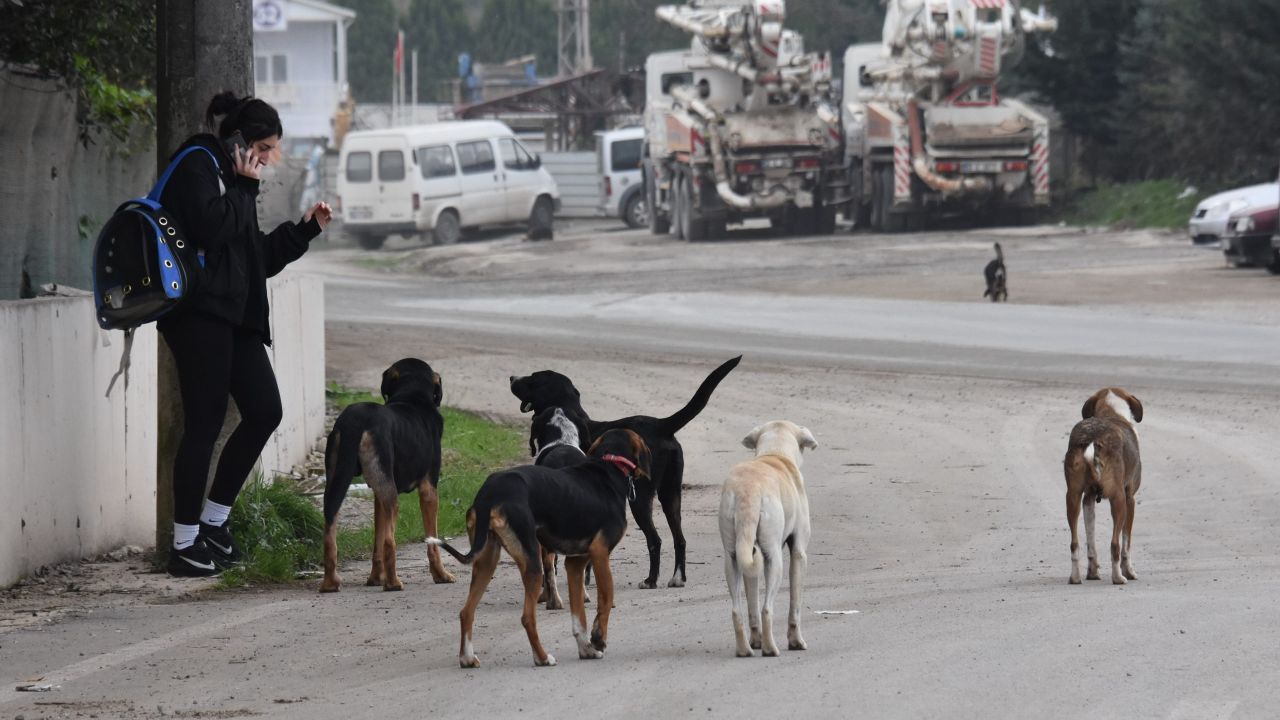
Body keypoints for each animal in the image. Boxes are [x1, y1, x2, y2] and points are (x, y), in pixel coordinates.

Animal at [318, 356, 455, 591]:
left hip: (339, 480)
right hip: (390, 495)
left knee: (330, 532)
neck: (412, 396)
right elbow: (432, 542)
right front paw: (441, 575)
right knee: (391, 541)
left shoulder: (377, 494)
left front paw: (375, 579)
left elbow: (377, 542)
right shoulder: (429, 489)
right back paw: (393, 583)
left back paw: (330, 583)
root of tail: (355, 420)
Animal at [430, 425, 650, 666]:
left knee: (466, 612)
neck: (609, 465)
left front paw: (586, 649)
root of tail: (489, 493)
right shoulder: (600, 553)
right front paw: (598, 639)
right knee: (527, 617)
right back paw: (542, 658)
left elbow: (578, 616)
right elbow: (606, 598)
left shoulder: (575, 564)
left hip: (486, 561)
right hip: (532, 563)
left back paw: (468, 658)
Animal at [504, 353, 737, 589]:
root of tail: (662, 425)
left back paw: (651, 580)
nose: (512, 377)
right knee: (679, 539)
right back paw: (678, 577)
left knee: (655, 539)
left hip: (640, 498)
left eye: (533, 379)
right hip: (671, 495)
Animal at [721, 415, 819, 655]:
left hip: (733, 557)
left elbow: (752, 605)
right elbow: (795, 605)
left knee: (738, 610)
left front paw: (755, 640)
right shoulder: (799, 553)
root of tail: (748, 491)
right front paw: (796, 641)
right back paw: (770, 648)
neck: (775, 453)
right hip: (773, 559)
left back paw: (746, 649)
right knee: (767, 608)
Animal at [1064, 386, 1146, 584]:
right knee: (1115, 544)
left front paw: (1093, 572)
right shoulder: (1130, 498)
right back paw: (1118, 577)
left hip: (1072, 497)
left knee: (1074, 543)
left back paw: (1075, 577)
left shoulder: (1088, 499)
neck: (1111, 413)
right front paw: (1129, 571)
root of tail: (1093, 438)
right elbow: (1126, 542)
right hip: (1119, 500)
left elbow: (1091, 542)